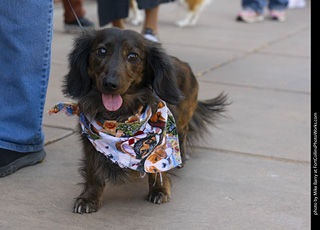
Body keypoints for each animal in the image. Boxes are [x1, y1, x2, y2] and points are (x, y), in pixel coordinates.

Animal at [63, 27, 228, 214]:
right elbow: (93, 172)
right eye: (101, 51)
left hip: (182, 116)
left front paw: (159, 188)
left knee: (184, 132)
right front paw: (89, 197)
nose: (110, 84)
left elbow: (158, 167)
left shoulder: (160, 138)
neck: (118, 119)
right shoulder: (89, 141)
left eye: (133, 56)